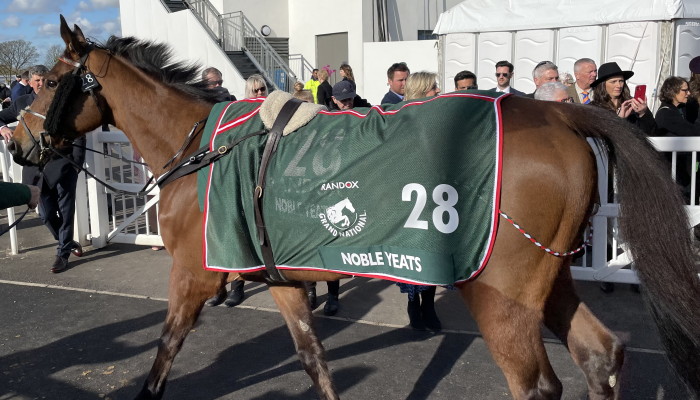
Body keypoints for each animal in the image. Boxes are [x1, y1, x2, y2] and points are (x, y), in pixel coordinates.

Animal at [8, 18, 700, 400]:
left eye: (51, 82)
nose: (19, 143)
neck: (201, 147)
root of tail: (559, 113)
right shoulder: (282, 278)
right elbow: (313, 360)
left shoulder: (194, 275)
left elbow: (164, 353)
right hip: (550, 274)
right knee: (599, 356)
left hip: (499, 292)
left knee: (536, 385)